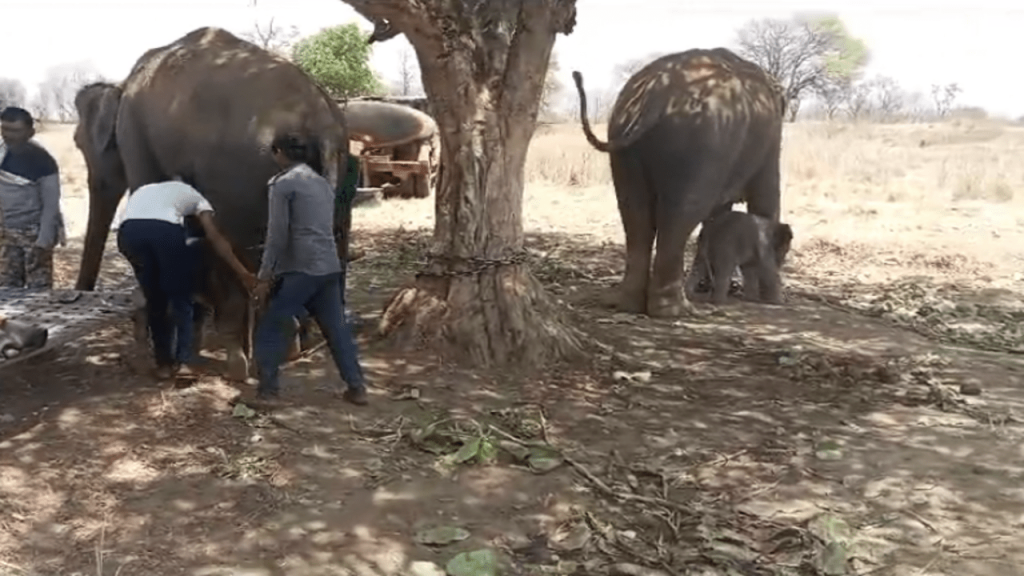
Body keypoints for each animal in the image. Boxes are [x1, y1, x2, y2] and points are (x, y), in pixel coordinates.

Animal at [72, 26, 352, 379]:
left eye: (79, 143)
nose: (80, 293)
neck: (122, 84)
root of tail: (321, 119)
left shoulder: (133, 135)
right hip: (338, 168)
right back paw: (294, 346)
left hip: (238, 172)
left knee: (243, 248)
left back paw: (246, 360)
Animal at [577, 48, 782, 317]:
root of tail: (656, 93)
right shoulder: (771, 139)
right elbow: (765, 199)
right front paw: (770, 299)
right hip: (701, 142)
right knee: (682, 213)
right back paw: (676, 310)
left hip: (625, 135)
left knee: (634, 212)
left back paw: (631, 304)